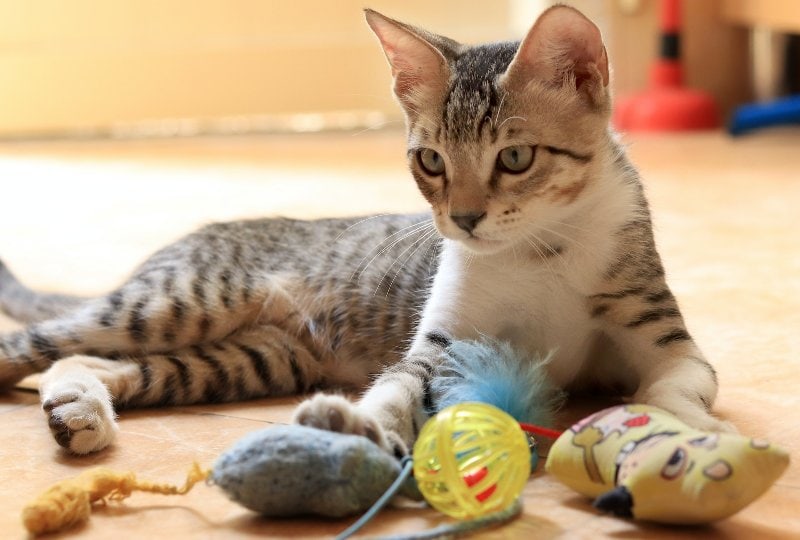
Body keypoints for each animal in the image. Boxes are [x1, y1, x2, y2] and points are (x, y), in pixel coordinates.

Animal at [0, 7, 732, 456]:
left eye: (516, 158)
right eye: (430, 160)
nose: (464, 219)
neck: (539, 250)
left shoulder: (663, 335)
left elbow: (679, 382)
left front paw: (687, 427)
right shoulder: (446, 338)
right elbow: (401, 384)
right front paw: (361, 423)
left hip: (255, 357)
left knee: (97, 361)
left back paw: (78, 406)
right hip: (180, 302)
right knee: (39, 343)